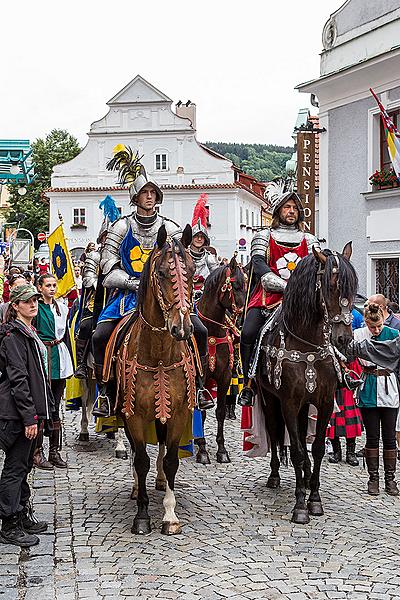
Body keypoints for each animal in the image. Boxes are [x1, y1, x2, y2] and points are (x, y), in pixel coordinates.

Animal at [115, 225, 196, 536]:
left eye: (193, 270)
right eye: (161, 273)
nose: (182, 327)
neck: (159, 354)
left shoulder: (179, 414)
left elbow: (171, 460)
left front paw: (170, 515)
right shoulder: (133, 415)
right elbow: (140, 460)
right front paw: (142, 516)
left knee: (161, 448)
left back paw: (160, 481)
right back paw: (138, 488)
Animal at [258, 241, 358, 524]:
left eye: (353, 289)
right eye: (330, 287)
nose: (344, 340)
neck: (308, 344)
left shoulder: (323, 403)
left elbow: (317, 449)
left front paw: (314, 499)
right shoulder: (289, 403)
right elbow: (298, 451)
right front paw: (300, 506)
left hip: (305, 406)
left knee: (302, 437)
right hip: (269, 399)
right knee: (275, 434)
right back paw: (275, 476)